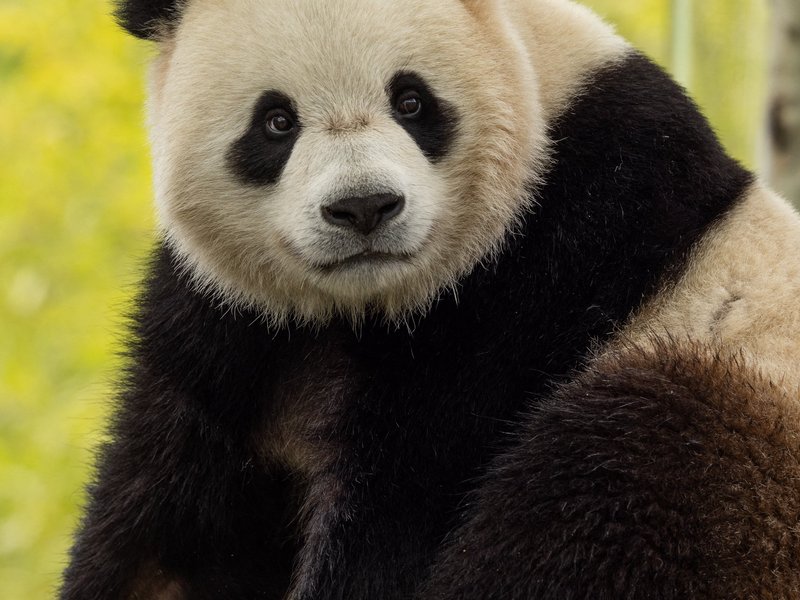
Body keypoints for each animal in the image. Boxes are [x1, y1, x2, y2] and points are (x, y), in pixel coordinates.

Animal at [61, 0, 800, 598]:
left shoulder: (540, 275)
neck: (360, 308)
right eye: (276, 120)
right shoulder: (228, 323)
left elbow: (395, 514)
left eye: (411, 101)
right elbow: (164, 526)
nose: (363, 207)